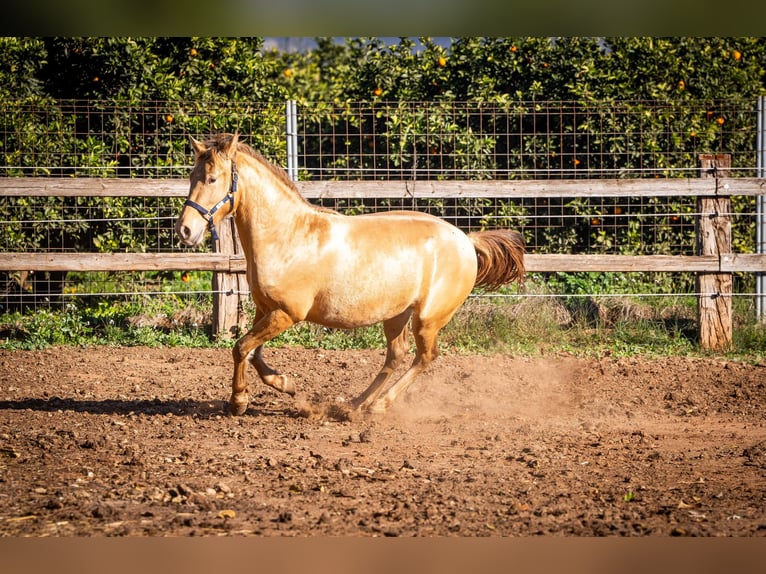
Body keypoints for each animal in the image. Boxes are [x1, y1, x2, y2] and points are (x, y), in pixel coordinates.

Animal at [176, 133, 524, 416]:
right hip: (396, 315)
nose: (185, 231)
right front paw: (285, 383)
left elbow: (241, 348)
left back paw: (378, 406)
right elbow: (253, 352)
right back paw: (356, 404)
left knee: (425, 357)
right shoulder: (266, 310)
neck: (287, 236)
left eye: (213, 179)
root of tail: (466, 240)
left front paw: (239, 402)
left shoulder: (287, 314)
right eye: (192, 176)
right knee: (396, 356)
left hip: (427, 318)